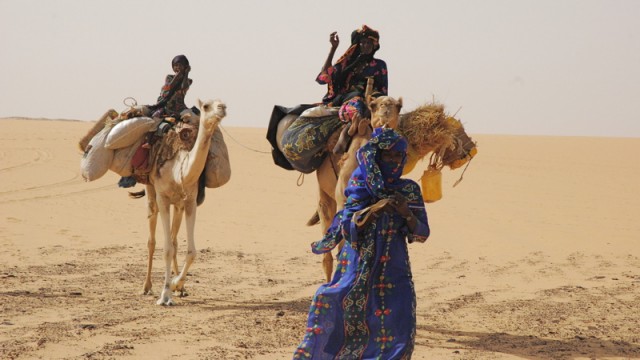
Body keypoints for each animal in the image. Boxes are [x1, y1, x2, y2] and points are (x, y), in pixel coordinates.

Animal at [140, 98, 228, 304]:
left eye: (222, 103)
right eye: (206, 106)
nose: (222, 108)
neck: (178, 170)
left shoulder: (190, 203)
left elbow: (190, 251)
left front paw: (176, 284)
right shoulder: (163, 199)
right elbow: (166, 249)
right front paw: (165, 295)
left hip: (178, 207)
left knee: (174, 240)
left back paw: (180, 287)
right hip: (151, 193)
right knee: (152, 239)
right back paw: (147, 286)